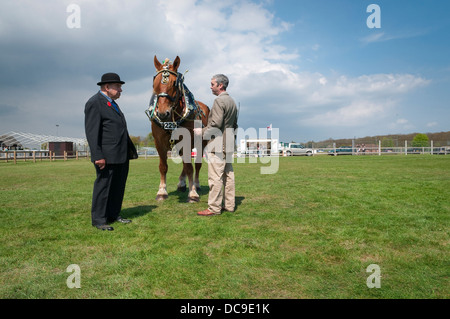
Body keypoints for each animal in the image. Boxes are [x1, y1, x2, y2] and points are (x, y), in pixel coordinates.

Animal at [147, 55, 212, 202]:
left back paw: (196, 184)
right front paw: (162, 191)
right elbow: (163, 167)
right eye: (155, 84)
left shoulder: (187, 142)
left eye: (174, 84)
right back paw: (182, 183)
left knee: (196, 165)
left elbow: (190, 168)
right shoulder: (159, 143)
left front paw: (192, 193)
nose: (162, 114)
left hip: (200, 144)